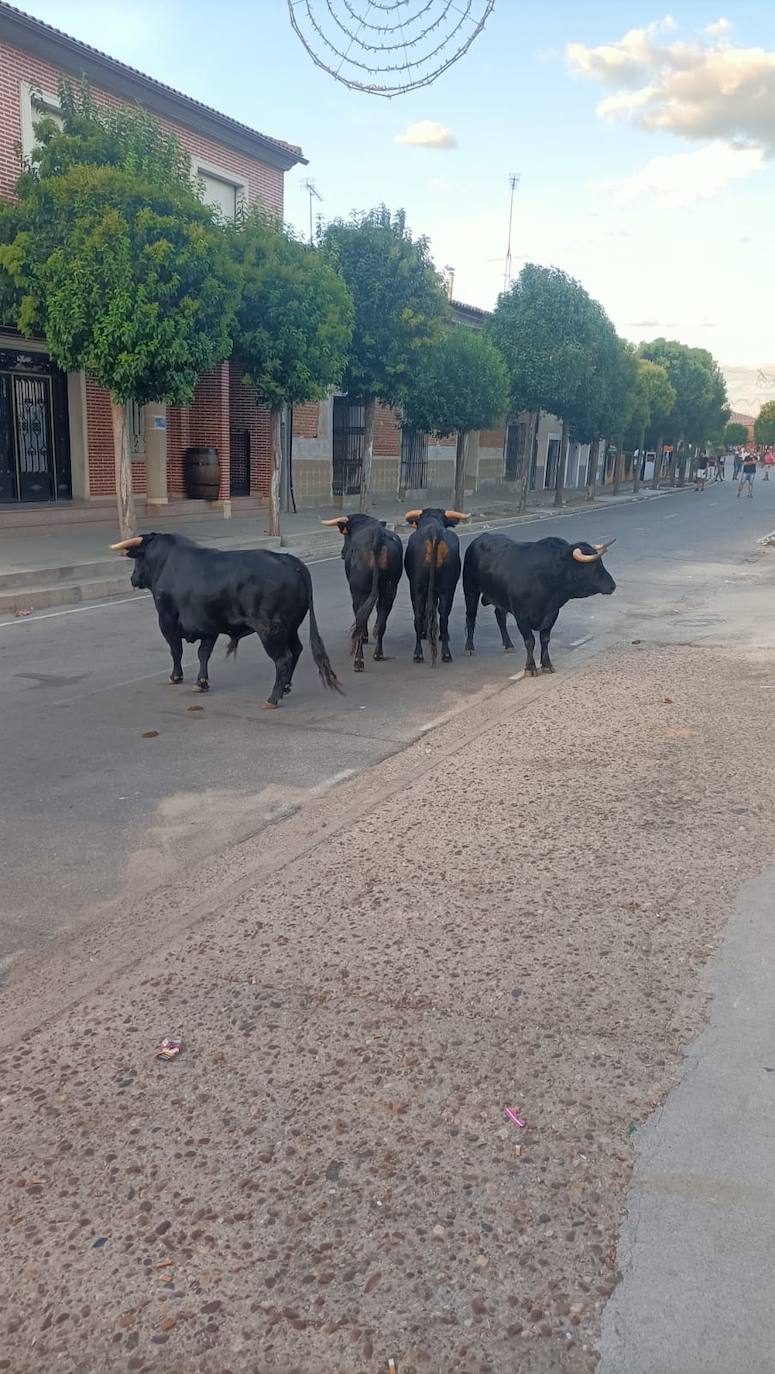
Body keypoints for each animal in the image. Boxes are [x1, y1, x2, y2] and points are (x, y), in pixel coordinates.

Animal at [110, 530, 340, 708]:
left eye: (138, 558)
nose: (132, 578)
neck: (166, 562)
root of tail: (289, 560)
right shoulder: (208, 626)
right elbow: (204, 654)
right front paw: (201, 682)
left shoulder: (167, 621)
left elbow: (176, 650)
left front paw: (176, 676)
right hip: (289, 627)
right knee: (296, 650)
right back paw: (285, 688)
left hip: (270, 630)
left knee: (283, 659)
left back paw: (273, 698)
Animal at [322, 511, 406, 670]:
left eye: (345, 535)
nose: (342, 553)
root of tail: (377, 535)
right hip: (390, 589)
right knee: (381, 619)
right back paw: (378, 654)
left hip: (359, 591)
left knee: (360, 617)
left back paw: (358, 661)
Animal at [458, 530, 618, 670]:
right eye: (592, 565)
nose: (612, 585)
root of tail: (481, 538)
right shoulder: (521, 616)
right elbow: (530, 641)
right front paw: (530, 667)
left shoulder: (552, 613)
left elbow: (545, 639)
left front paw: (547, 665)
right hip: (470, 589)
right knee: (470, 617)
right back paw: (469, 647)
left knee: (500, 617)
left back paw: (509, 645)